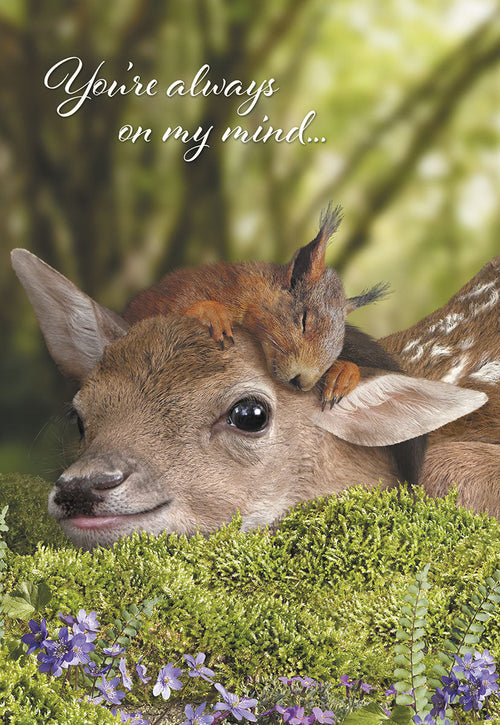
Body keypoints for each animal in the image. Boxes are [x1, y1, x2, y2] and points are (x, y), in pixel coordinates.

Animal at [123, 204, 389, 408]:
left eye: (339, 343)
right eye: (303, 320)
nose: (302, 382)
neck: (250, 291)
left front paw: (344, 371)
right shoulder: (184, 290)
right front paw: (211, 313)